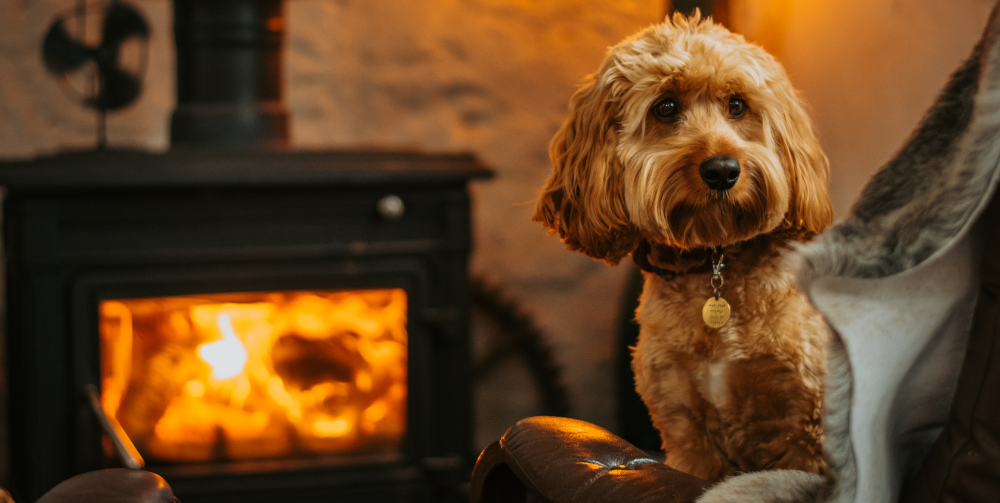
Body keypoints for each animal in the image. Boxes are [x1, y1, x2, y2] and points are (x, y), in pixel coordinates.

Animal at [536, 11, 832, 482]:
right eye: (666, 107)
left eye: (737, 105)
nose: (723, 170)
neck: (715, 261)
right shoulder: (685, 428)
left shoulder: (806, 427)